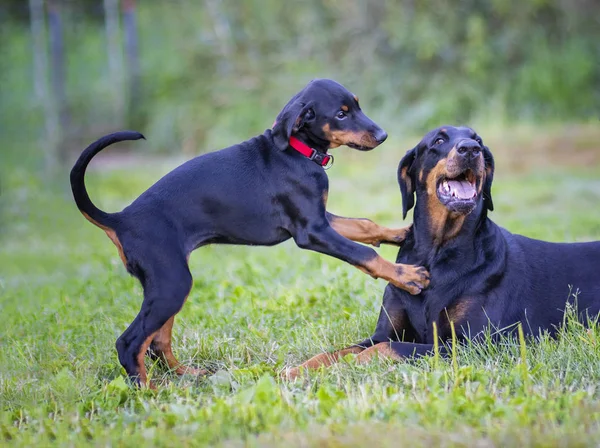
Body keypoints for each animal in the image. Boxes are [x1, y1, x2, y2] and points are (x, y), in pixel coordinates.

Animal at [69, 79, 432, 386]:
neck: (298, 151)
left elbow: (363, 225)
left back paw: (187, 375)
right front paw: (407, 275)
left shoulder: (320, 218)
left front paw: (400, 233)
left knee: (157, 339)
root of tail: (121, 219)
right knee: (130, 342)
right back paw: (148, 392)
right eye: (341, 114)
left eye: (357, 105)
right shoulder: (312, 232)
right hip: (171, 282)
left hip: (165, 285)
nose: (383, 135)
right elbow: (364, 253)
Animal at [286, 124, 600, 376]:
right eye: (438, 140)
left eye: (478, 140)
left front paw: (345, 367)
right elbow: (338, 351)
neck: (436, 254)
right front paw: (295, 371)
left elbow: (384, 349)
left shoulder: (473, 343)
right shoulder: (382, 332)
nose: (470, 149)